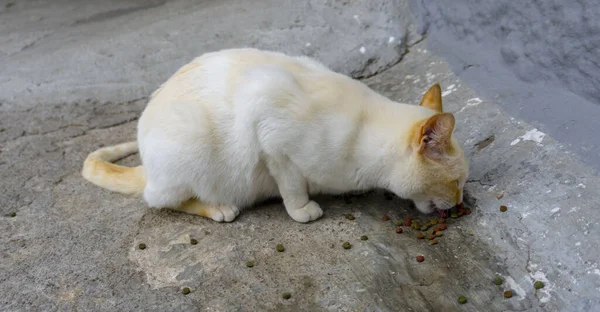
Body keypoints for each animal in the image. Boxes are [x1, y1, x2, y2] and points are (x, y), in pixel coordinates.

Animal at [83, 48, 468, 222]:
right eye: (458, 182)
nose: (462, 201)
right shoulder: (270, 129)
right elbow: (292, 184)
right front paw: (302, 210)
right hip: (190, 137)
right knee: (159, 199)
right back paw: (219, 207)